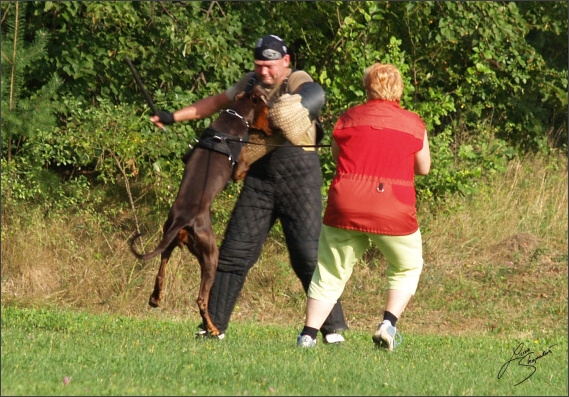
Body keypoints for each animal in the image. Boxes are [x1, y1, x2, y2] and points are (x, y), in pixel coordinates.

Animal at [130, 85, 270, 336]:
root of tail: (182, 219)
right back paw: (213, 328)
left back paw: (156, 298)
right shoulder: (238, 170)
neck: (235, 114)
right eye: (266, 108)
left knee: (161, 269)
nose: (271, 129)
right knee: (201, 299)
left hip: (172, 239)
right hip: (211, 253)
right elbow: (245, 164)